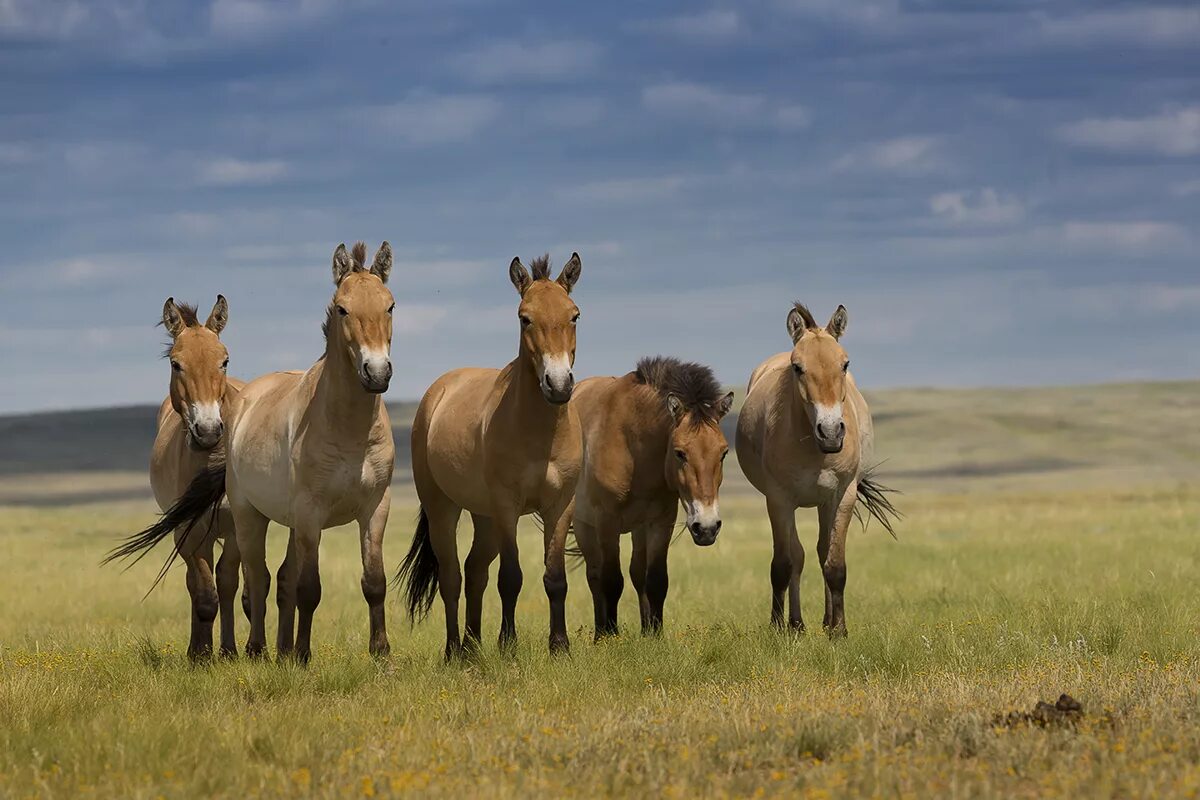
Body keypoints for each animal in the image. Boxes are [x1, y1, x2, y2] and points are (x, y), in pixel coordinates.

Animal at [124, 245, 400, 662]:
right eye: (342, 309)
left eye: (390, 306)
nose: (377, 372)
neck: (349, 429)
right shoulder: (307, 515)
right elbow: (306, 588)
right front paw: (301, 656)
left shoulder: (375, 508)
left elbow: (373, 581)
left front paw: (380, 653)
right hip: (248, 519)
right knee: (253, 578)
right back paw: (252, 649)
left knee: (270, 580)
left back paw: (270, 649)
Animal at [400, 253, 583, 662]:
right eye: (524, 317)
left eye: (574, 315)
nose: (558, 384)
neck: (540, 432)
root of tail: (438, 390)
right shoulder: (507, 507)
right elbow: (511, 578)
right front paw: (508, 644)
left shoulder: (560, 506)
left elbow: (555, 578)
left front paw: (560, 646)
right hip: (445, 509)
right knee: (452, 577)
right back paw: (454, 650)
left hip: (483, 518)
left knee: (475, 572)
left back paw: (472, 645)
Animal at [568, 357, 729, 638]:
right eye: (679, 453)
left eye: (723, 453)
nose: (707, 528)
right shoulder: (607, 521)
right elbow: (611, 581)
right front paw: (612, 635)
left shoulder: (660, 522)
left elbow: (655, 580)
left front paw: (655, 634)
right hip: (584, 526)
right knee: (595, 575)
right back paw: (601, 632)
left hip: (638, 528)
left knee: (636, 573)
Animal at [734, 299, 897, 638]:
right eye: (798, 367)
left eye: (845, 364)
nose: (831, 432)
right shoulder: (779, 500)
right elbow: (783, 565)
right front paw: (778, 627)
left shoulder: (841, 496)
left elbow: (835, 565)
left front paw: (839, 631)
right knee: (797, 557)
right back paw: (795, 624)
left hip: (824, 503)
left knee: (822, 552)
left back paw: (825, 621)